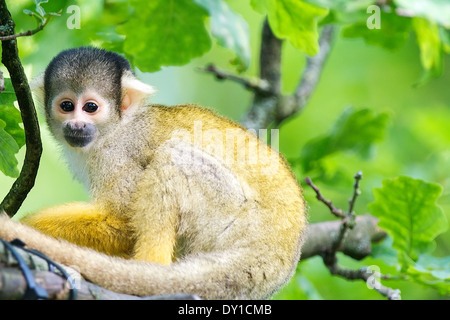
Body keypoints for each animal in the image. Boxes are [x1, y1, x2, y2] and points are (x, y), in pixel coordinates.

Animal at [0, 47, 306, 300]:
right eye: (66, 106)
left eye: (90, 107)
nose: (76, 125)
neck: (117, 128)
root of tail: (275, 255)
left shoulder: (120, 151)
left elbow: (122, 220)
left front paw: (27, 225)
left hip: (231, 216)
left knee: (173, 156)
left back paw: (147, 268)